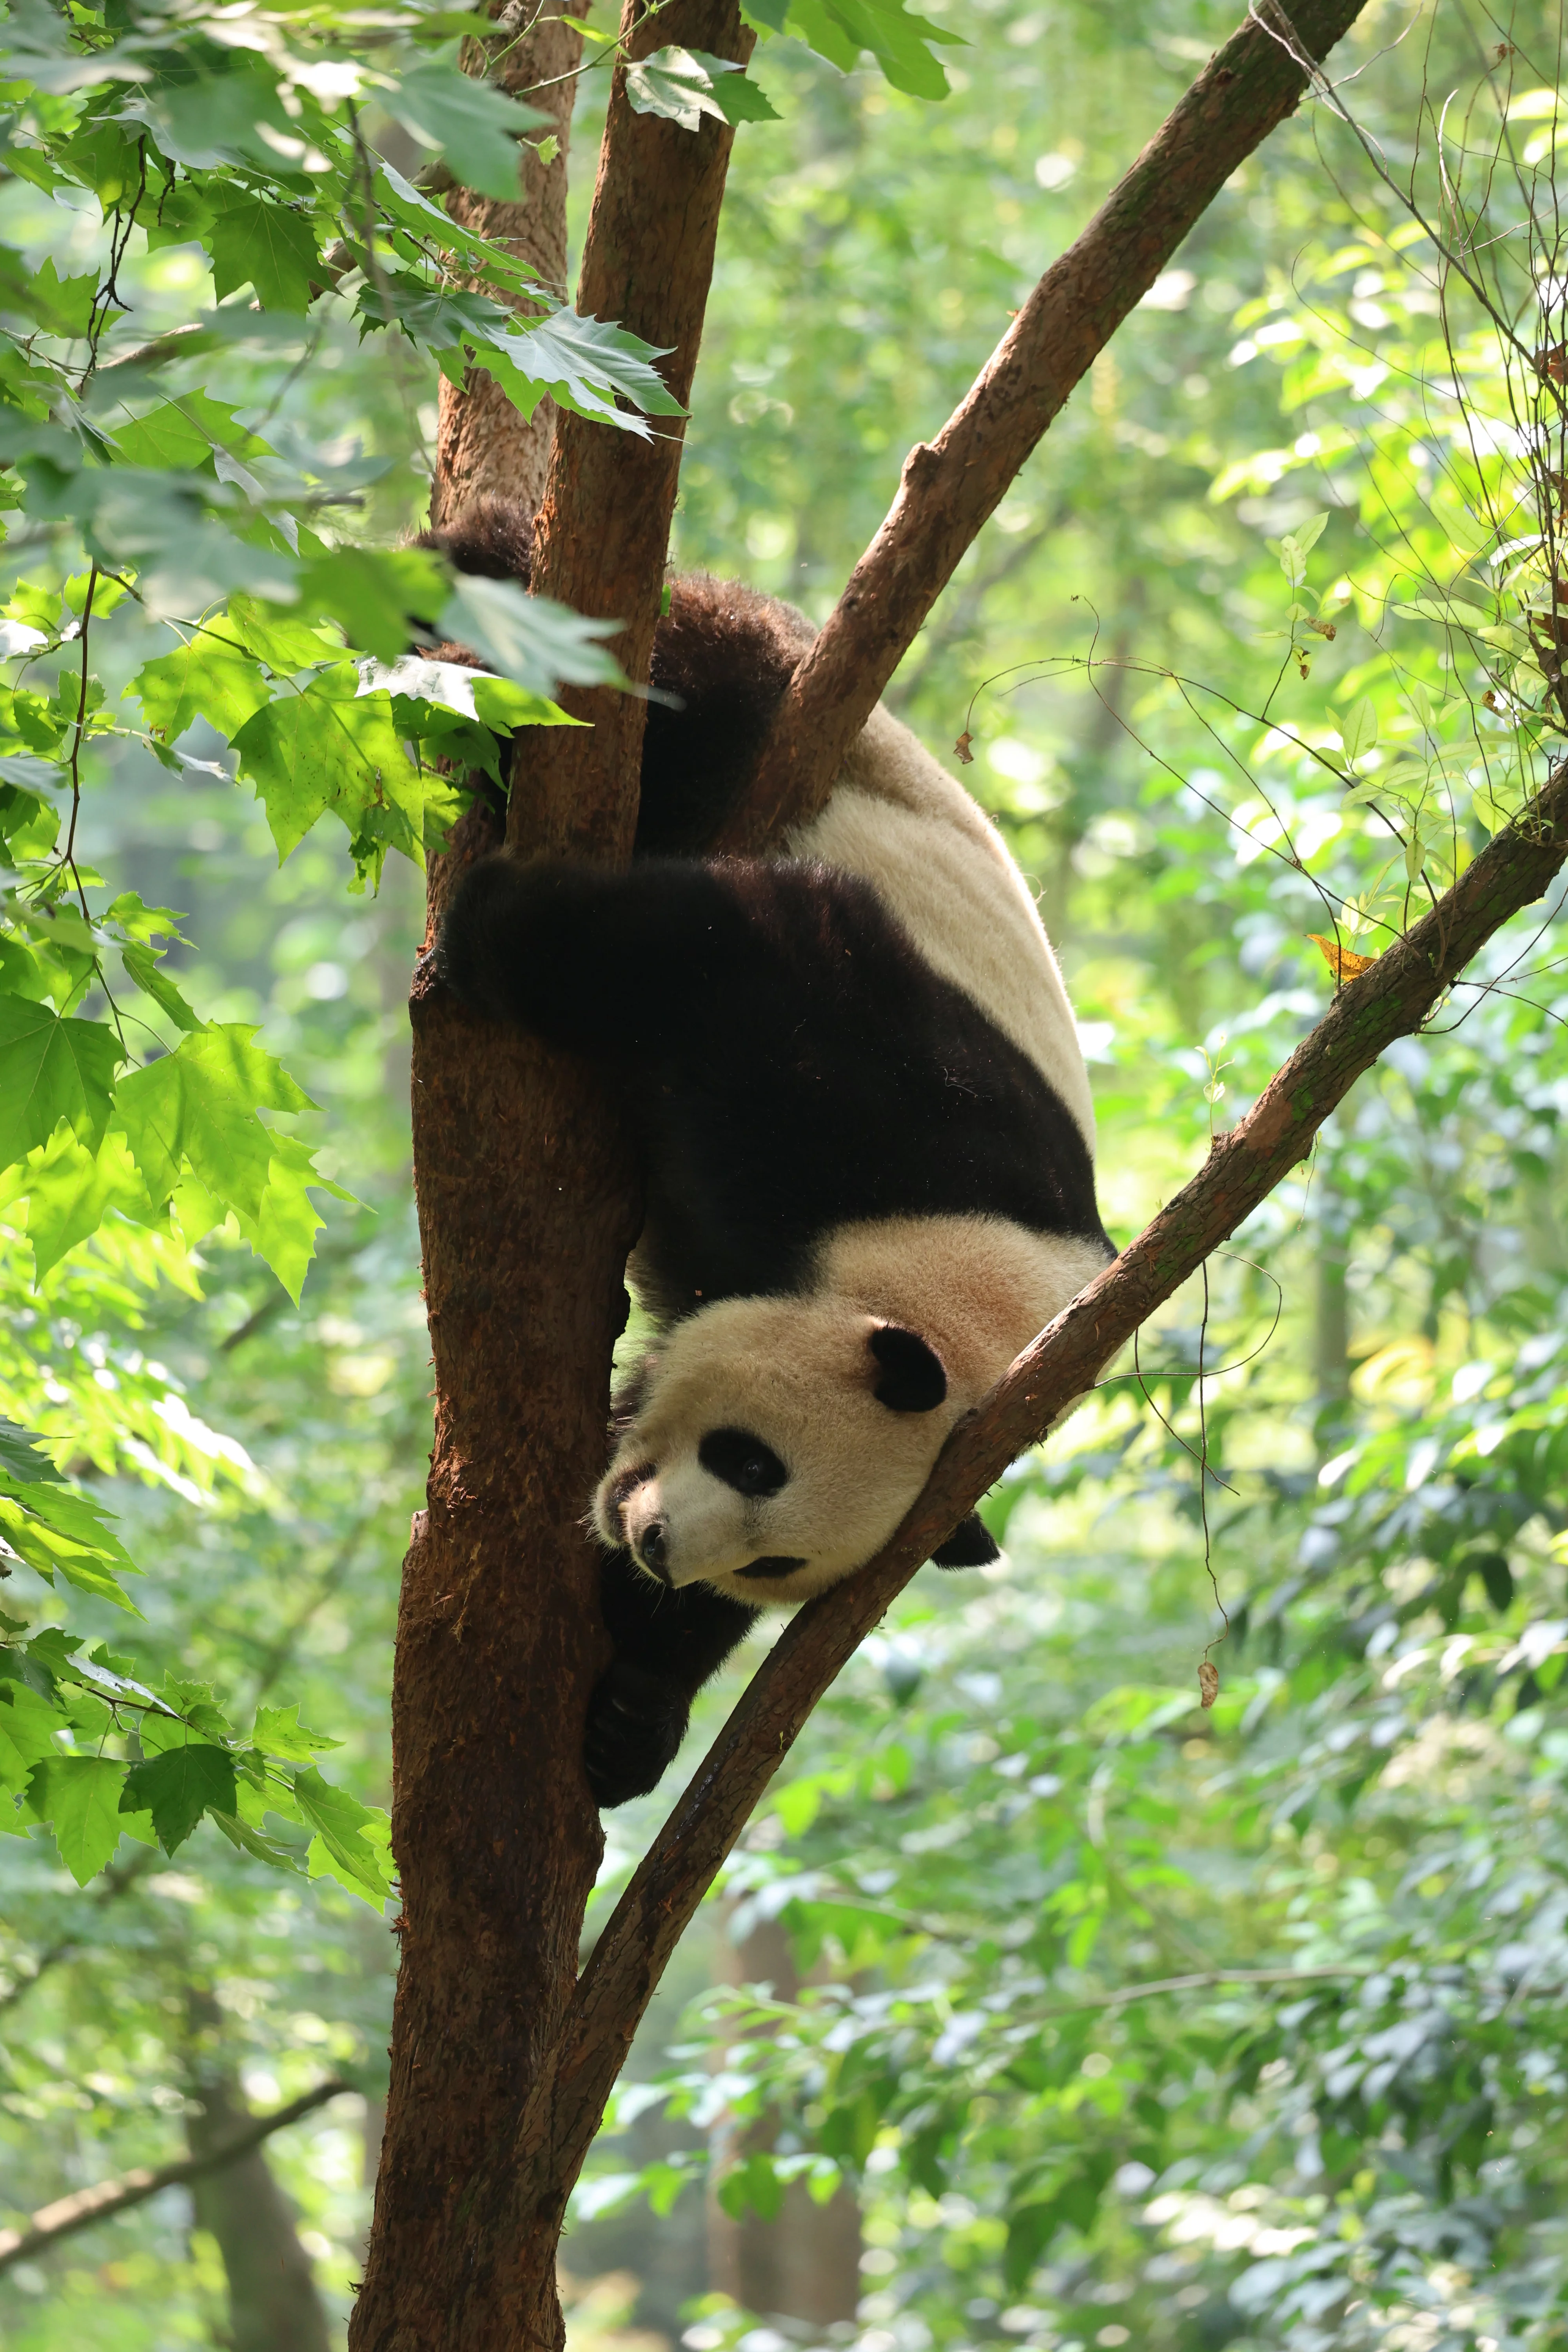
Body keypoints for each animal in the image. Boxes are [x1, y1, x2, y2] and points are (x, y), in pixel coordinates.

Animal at [431, 501, 1114, 1808]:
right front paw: (500, 924)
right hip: (785, 707)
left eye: (774, 1560)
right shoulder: (884, 1091)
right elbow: (714, 947)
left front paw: (633, 1711)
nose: (659, 1546)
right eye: (751, 1462)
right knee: (666, 656)